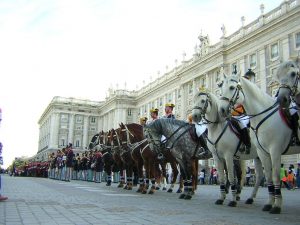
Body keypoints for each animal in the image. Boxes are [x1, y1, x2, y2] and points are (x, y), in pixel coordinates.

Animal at [218, 74, 300, 214]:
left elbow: (275, 176)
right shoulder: (262, 152)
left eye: (232, 87)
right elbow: (268, 176)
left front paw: (276, 205)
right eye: (221, 87)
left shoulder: (275, 150)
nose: (222, 110)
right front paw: (270, 203)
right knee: (257, 176)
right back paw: (249, 197)